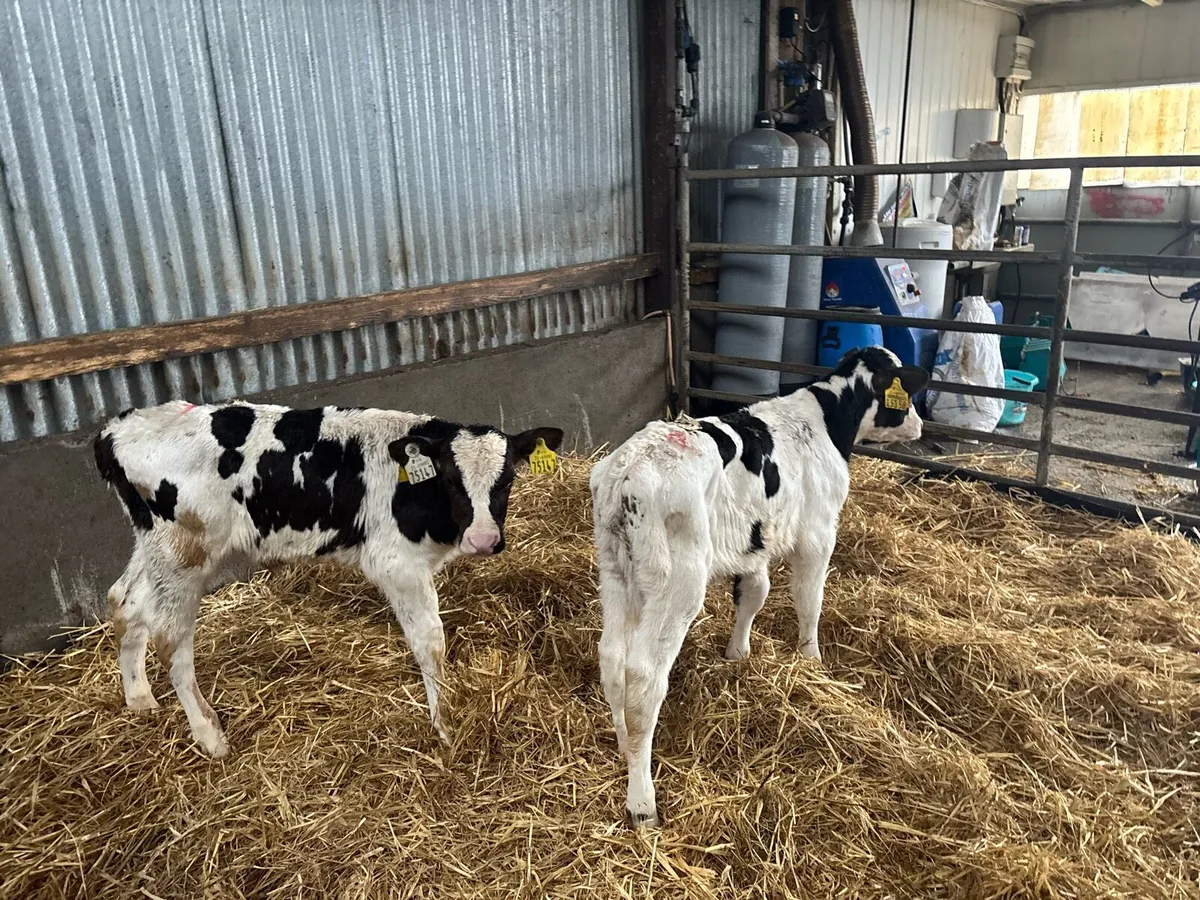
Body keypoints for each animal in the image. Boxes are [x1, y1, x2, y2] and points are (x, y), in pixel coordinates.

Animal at [94, 400, 563, 758]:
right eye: (450, 478)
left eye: (508, 479)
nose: (483, 540)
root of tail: (119, 428)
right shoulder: (397, 564)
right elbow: (430, 644)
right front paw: (446, 726)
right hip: (183, 555)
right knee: (170, 638)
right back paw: (210, 737)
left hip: (154, 547)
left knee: (124, 600)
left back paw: (139, 699)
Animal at [589, 346, 929, 827]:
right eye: (904, 391)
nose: (919, 425)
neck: (825, 418)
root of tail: (629, 468)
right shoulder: (818, 532)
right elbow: (809, 599)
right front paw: (811, 658)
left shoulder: (755, 542)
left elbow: (754, 593)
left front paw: (738, 654)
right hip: (677, 583)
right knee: (644, 676)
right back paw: (642, 800)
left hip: (616, 572)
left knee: (612, 658)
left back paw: (624, 748)